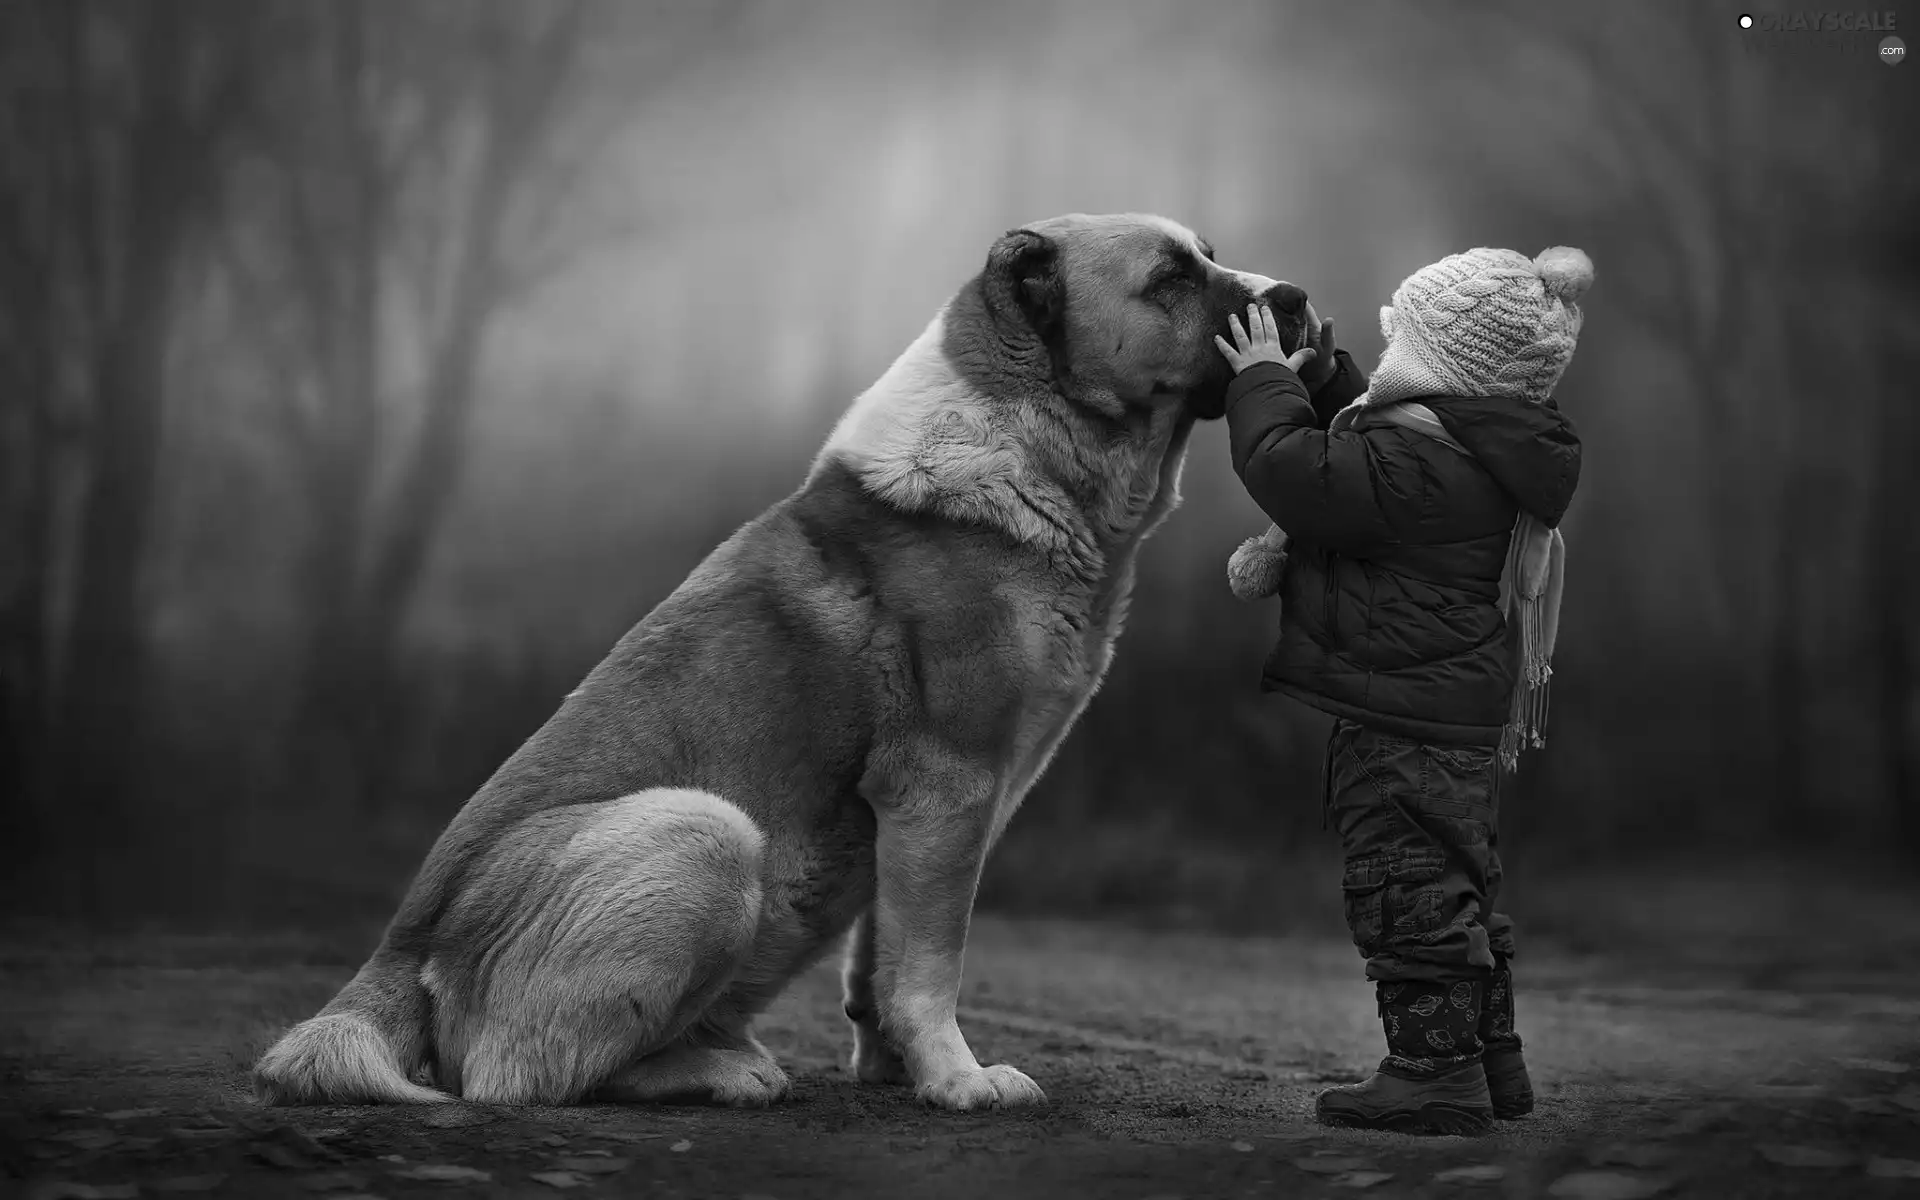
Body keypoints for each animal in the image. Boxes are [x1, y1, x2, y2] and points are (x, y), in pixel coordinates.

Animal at [255, 210, 1305, 1105]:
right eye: (1171, 278)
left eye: (1209, 255)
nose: (1293, 298)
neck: (1030, 443)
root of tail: (394, 956)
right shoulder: (948, 786)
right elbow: (932, 963)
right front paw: (960, 1081)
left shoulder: (919, 818)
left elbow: (883, 958)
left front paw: (897, 1070)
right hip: (707, 833)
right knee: (520, 1075)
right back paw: (723, 1071)